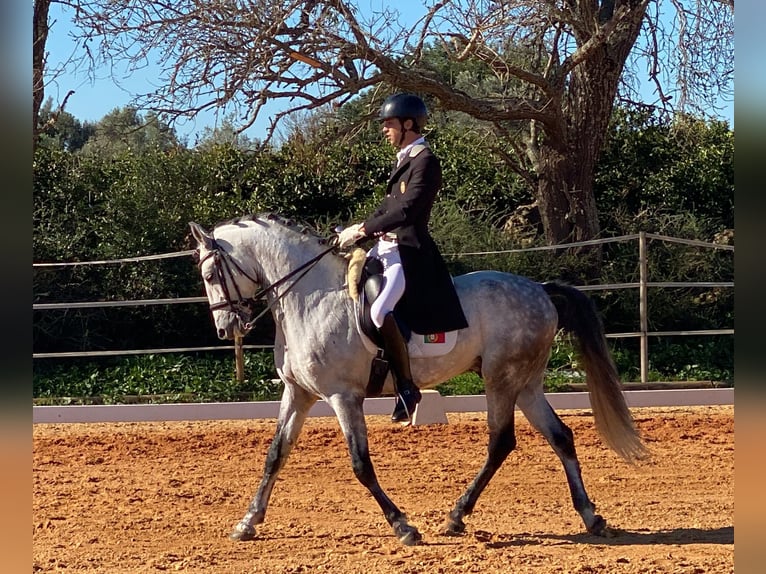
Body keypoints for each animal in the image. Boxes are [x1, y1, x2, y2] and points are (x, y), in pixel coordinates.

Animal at [192, 214, 648, 548]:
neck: (311, 298)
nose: (224, 328)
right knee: (560, 436)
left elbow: (361, 464)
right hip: (527, 383)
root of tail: (539, 289)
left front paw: (403, 526)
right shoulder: (299, 393)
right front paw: (247, 522)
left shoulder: (343, 396)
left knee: (501, 441)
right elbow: (275, 456)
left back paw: (457, 515)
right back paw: (590, 515)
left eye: (212, 273)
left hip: (502, 378)